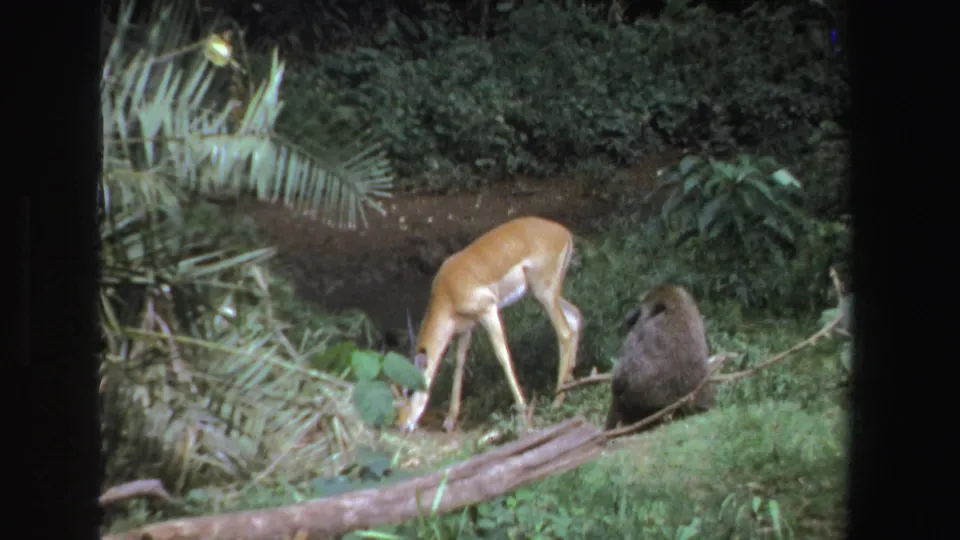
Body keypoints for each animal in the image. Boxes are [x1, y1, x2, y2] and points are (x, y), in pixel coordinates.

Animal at [397, 216, 583, 433]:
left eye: (409, 390)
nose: (402, 424)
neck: (448, 290)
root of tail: (563, 232)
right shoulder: (466, 327)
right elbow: (459, 363)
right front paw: (450, 420)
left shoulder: (489, 311)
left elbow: (502, 355)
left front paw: (522, 413)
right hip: (544, 294)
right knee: (575, 316)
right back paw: (572, 387)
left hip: (544, 293)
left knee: (565, 333)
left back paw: (557, 401)